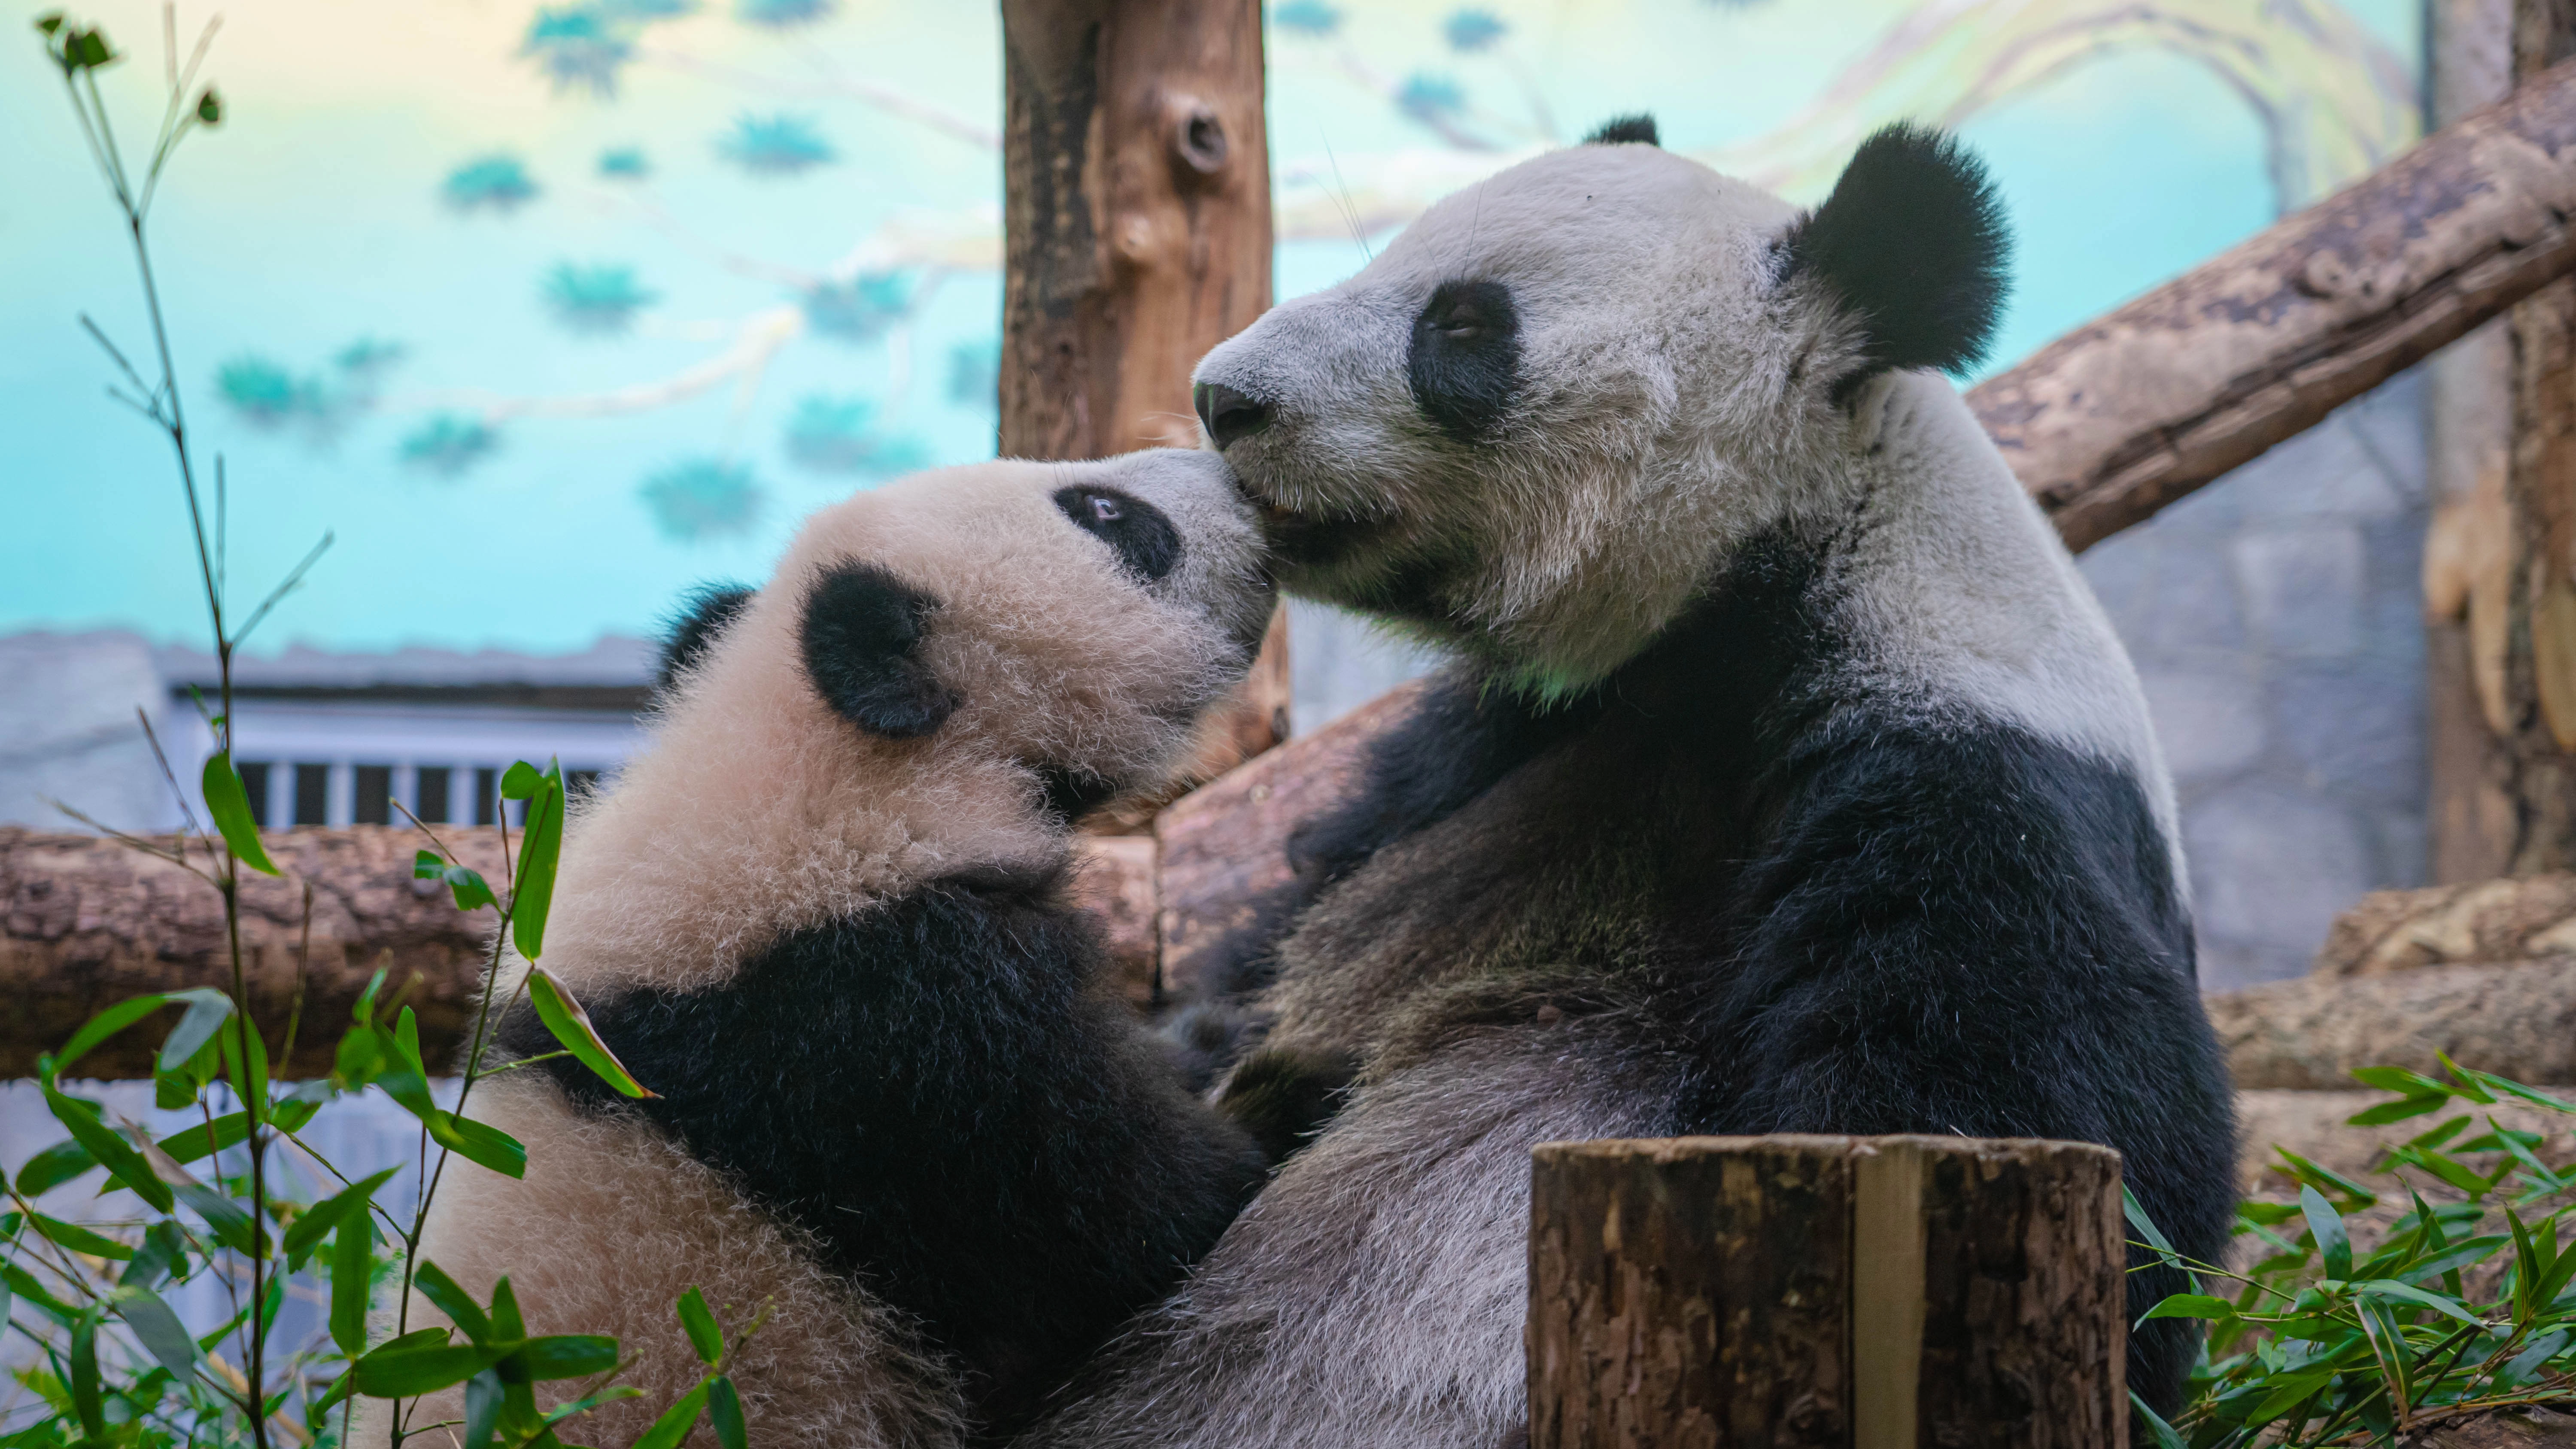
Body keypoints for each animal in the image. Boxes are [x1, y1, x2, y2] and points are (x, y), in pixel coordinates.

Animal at [1025, 121, 2236, 1441]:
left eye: (1464, 326)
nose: (1223, 398)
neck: (1773, 577)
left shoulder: (1967, 783)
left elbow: (2024, 1116)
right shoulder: (1504, 739)